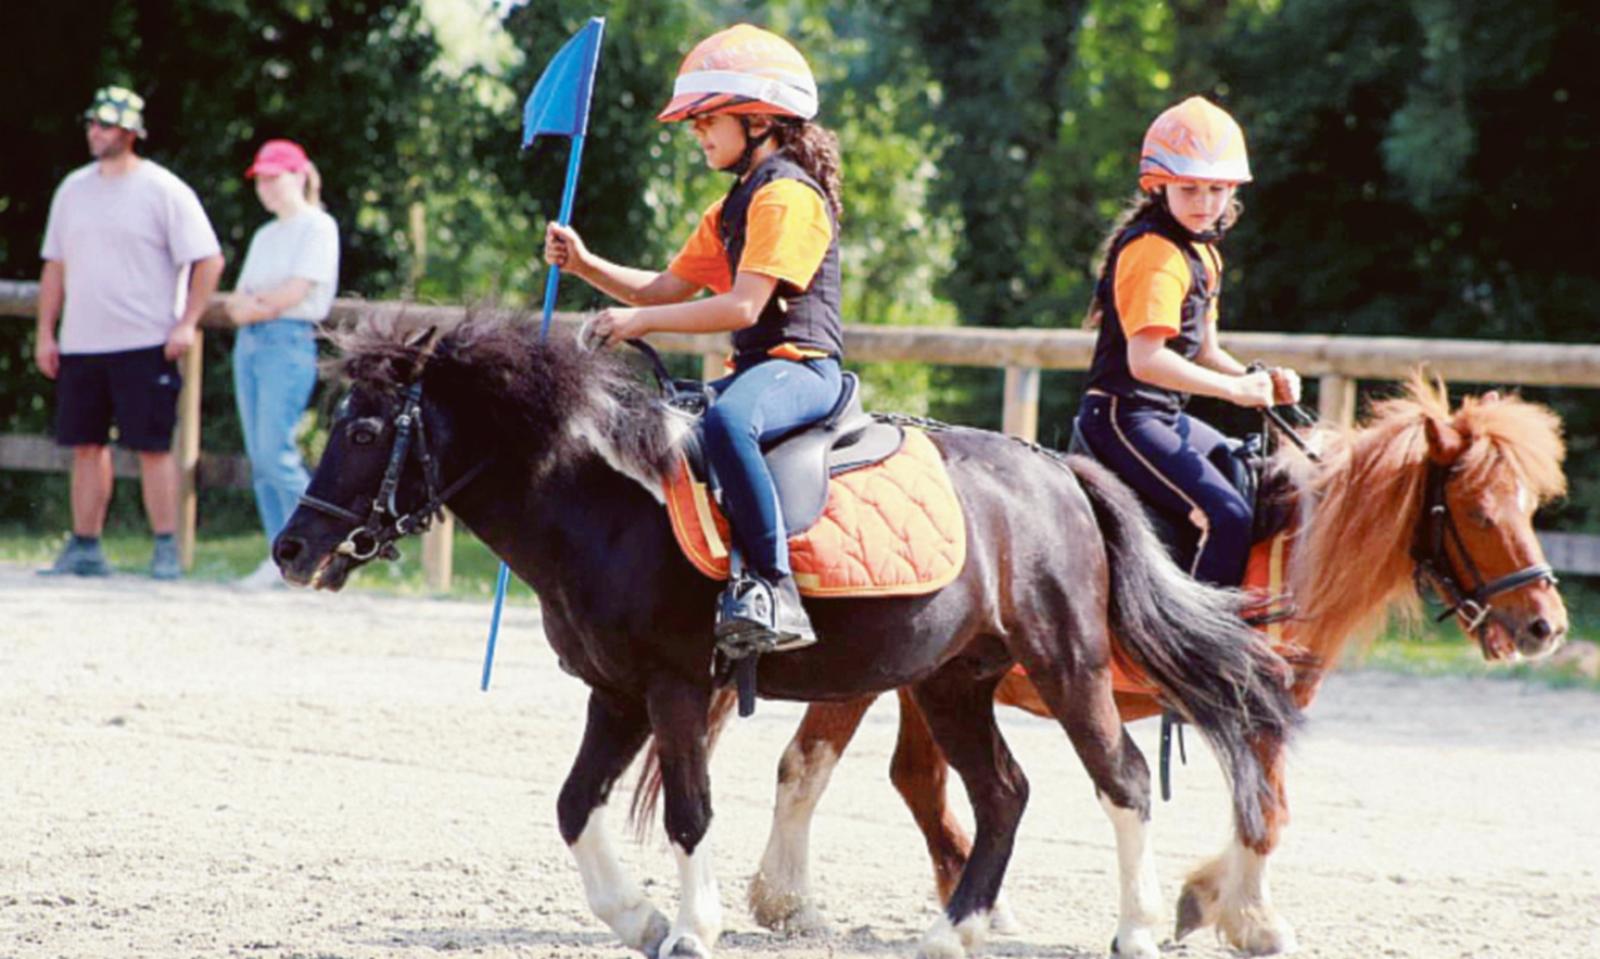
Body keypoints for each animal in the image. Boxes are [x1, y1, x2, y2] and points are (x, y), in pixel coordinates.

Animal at [271, 314, 1302, 959]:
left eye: (363, 429)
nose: (291, 547)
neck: (604, 501)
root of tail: (1054, 468)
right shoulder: (615, 692)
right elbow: (572, 806)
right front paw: (638, 918)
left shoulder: (677, 687)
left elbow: (689, 812)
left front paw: (691, 927)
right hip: (952, 682)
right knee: (1004, 792)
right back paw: (953, 930)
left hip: (1067, 663)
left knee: (1120, 778)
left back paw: (1134, 928)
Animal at [742, 377, 1569, 955]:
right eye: (1481, 513)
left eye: (1528, 507)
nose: (1546, 625)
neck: (1299, 542)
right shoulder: (1257, 704)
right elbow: (1266, 811)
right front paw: (1249, 915)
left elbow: (1261, 808)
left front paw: (1211, 899)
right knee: (810, 765)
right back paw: (791, 898)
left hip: (932, 682)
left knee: (918, 780)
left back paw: (969, 902)